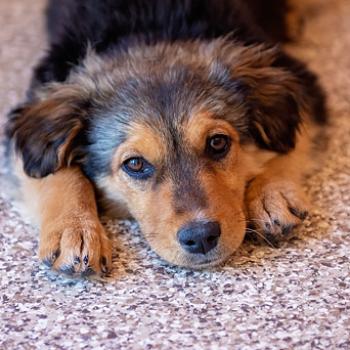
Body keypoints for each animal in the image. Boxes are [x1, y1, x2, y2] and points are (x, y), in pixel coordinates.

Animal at [5, 0, 326, 274]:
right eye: (135, 164)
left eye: (218, 143)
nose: (201, 237)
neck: (151, 35)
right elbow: (55, 173)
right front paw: (75, 229)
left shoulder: (304, 85)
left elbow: (289, 144)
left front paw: (271, 195)